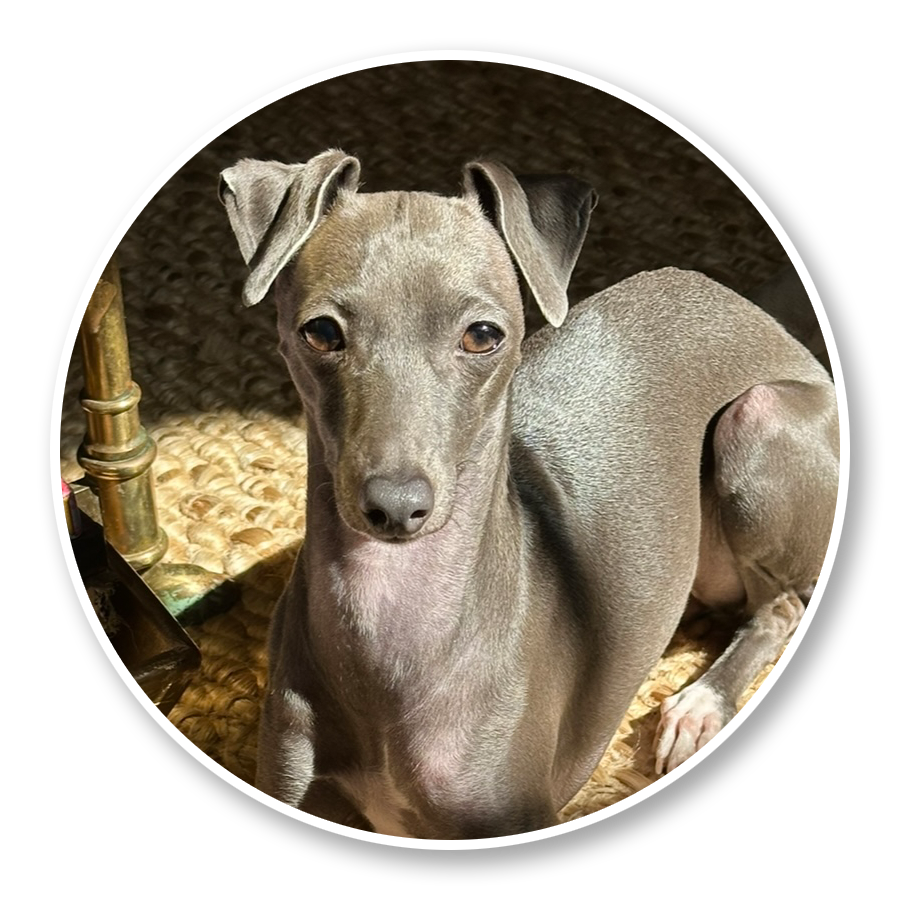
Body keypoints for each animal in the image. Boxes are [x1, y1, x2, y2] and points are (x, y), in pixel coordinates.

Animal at [219, 150, 839, 839]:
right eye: (322, 332)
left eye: (482, 334)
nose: (395, 506)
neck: (391, 649)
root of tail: (756, 313)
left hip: (756, 419)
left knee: (782, 605)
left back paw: (701, 702)